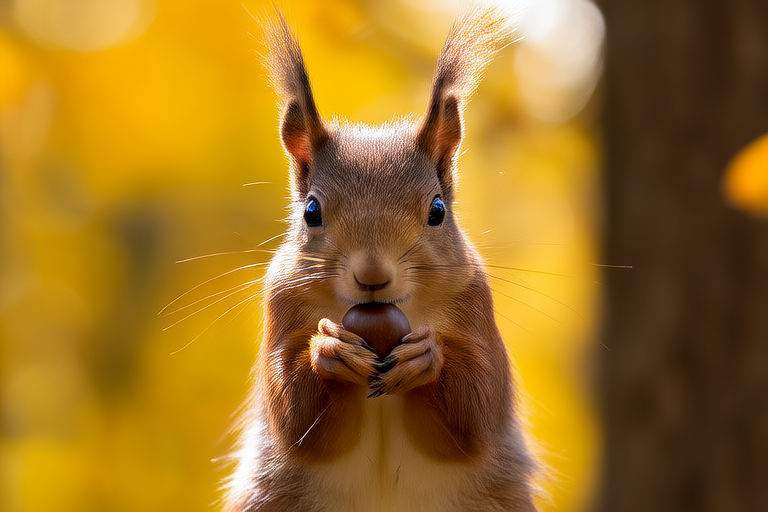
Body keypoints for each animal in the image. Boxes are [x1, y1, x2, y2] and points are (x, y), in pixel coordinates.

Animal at [223, 7, 539, 512]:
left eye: (437, 210)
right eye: (311, 211)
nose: (372, 274)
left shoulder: (474, 305)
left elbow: (475, 413)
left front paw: (426, 357)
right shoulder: (282, 303)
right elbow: (296, 418)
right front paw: (329, 349)